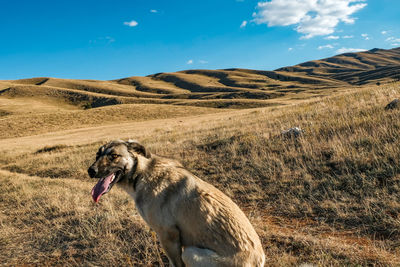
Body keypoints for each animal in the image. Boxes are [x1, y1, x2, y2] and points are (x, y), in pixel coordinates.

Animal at [87, 141, 266, 266]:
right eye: (97, 154)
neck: (141, 174)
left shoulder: (168, 236)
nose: (90, 171)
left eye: (113, 156)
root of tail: (259, 261)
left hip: (191, 252)